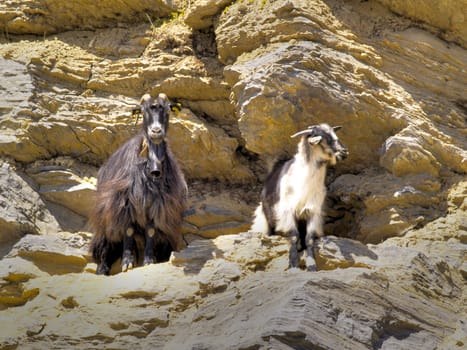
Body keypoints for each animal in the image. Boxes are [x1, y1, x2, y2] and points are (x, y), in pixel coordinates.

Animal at [88, 93, 187, 276]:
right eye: (143, 110)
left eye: (168, 109)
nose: (156, 131)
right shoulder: (125, 204)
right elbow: (128, 231)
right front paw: (127, 263)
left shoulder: (157, 206)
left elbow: (151, 231)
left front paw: (148, 261)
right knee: (107, 246)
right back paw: (102, 269)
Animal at [252, 123, 348, 270]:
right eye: (322, 139)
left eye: (334, 134)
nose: (344, 152)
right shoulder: (287, 212)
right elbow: (294, 236)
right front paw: (293, 264)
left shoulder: (313, 212)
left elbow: (309, 239)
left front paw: (311, 265)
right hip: (267, 215)